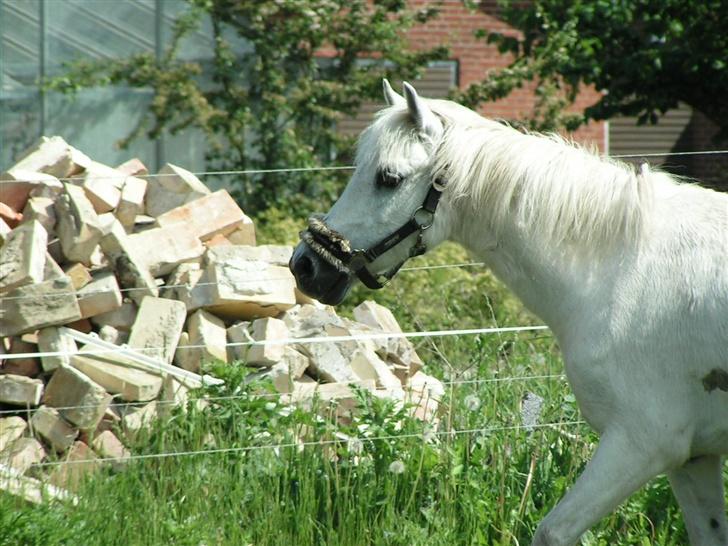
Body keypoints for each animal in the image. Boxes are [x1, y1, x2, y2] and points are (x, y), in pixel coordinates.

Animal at [289, 80, 728, 545]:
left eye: (388, 178)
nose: (306, 265)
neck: (621, 266)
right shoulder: (692, 458)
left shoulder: (641, 443)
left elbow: (552, 532)